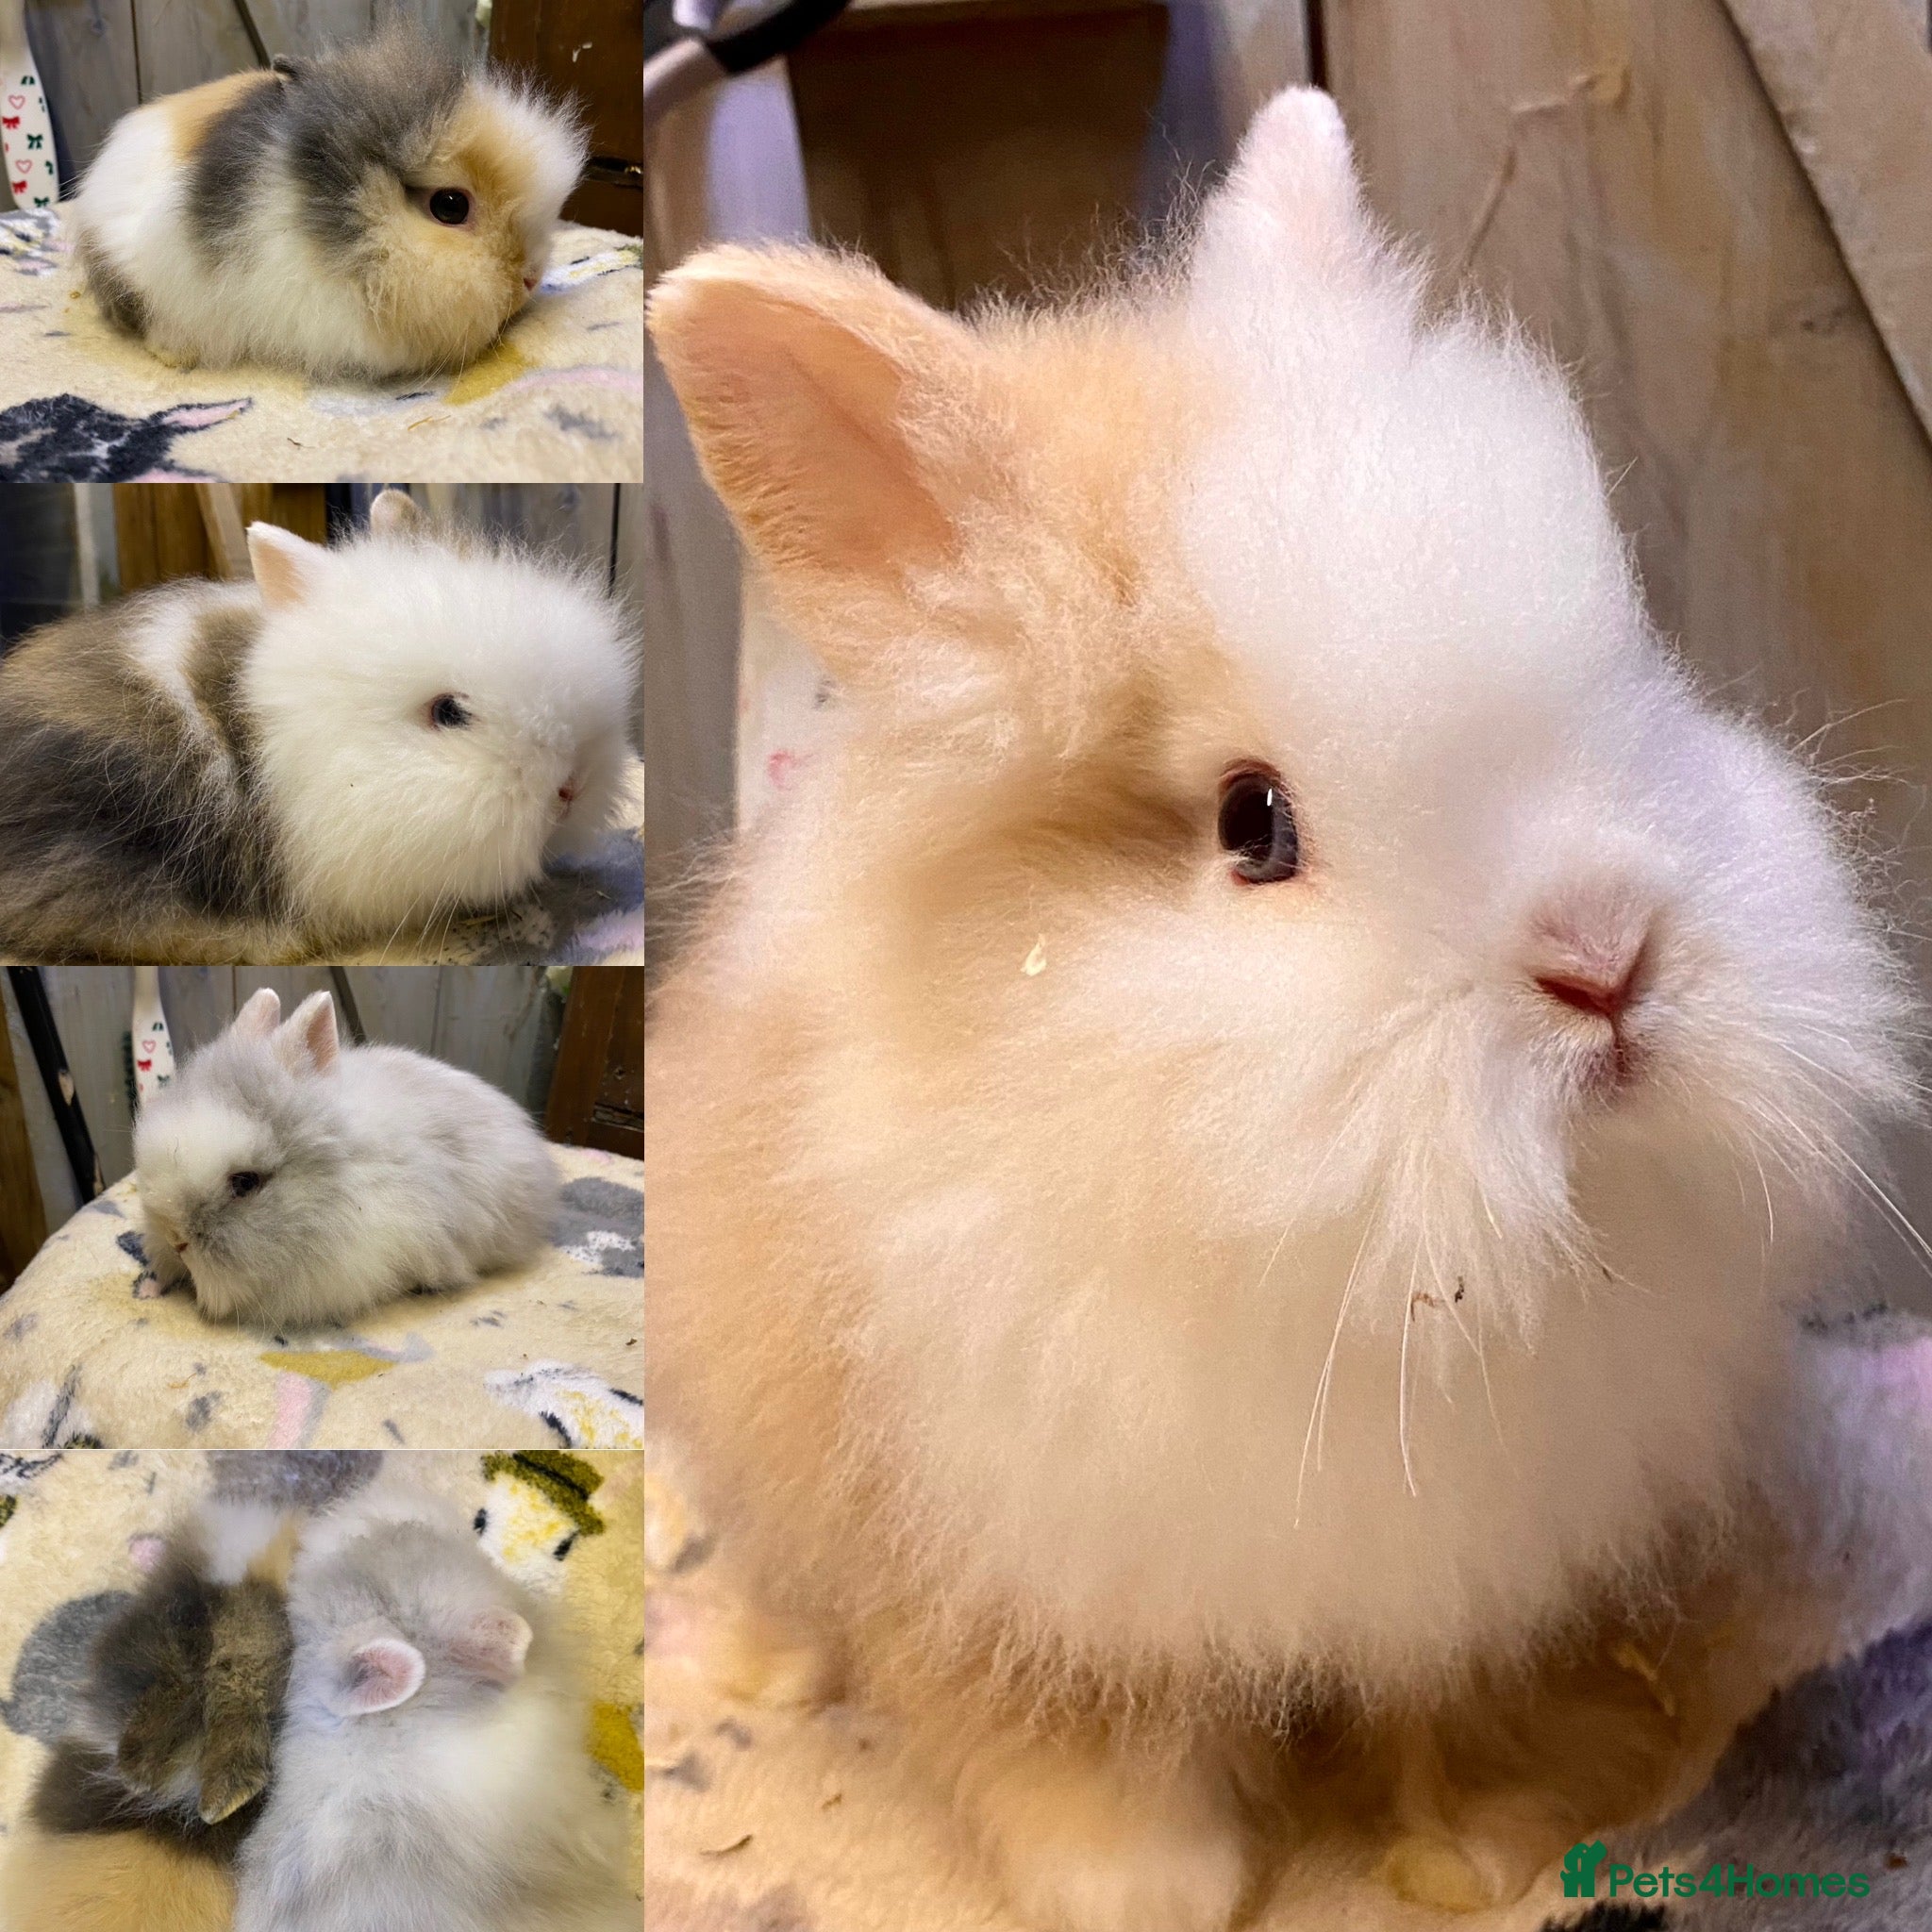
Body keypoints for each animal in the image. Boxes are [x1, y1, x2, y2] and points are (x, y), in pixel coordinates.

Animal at [642, 87, 1921, 1932]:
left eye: (1632, 663)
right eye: (1254, 825)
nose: (1609, 959)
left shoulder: (1485, 1556)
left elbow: (1463, 1703)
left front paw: (1476, 1848)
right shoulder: (994, 1541)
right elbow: (1052, 1720)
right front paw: (1138, 1890)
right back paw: (737, 1666)